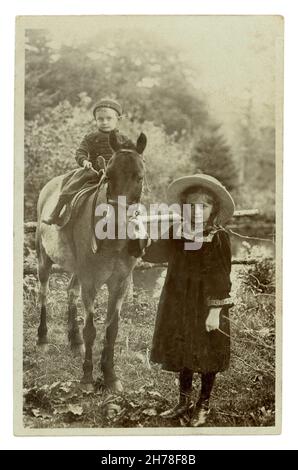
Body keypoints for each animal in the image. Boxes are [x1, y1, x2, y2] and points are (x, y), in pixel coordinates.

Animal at [35, 132, 147, 392]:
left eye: (139, 177)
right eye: (108, 176)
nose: (118, 221)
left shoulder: (120, 284)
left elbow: (111, 330)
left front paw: (110, 376)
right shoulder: (91, 281)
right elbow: (91, 330)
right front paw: (87, 377)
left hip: (77, 270)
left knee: (70, 291)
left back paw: (74, 342)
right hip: (45, 259)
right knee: (44, 292)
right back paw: (43, 338)